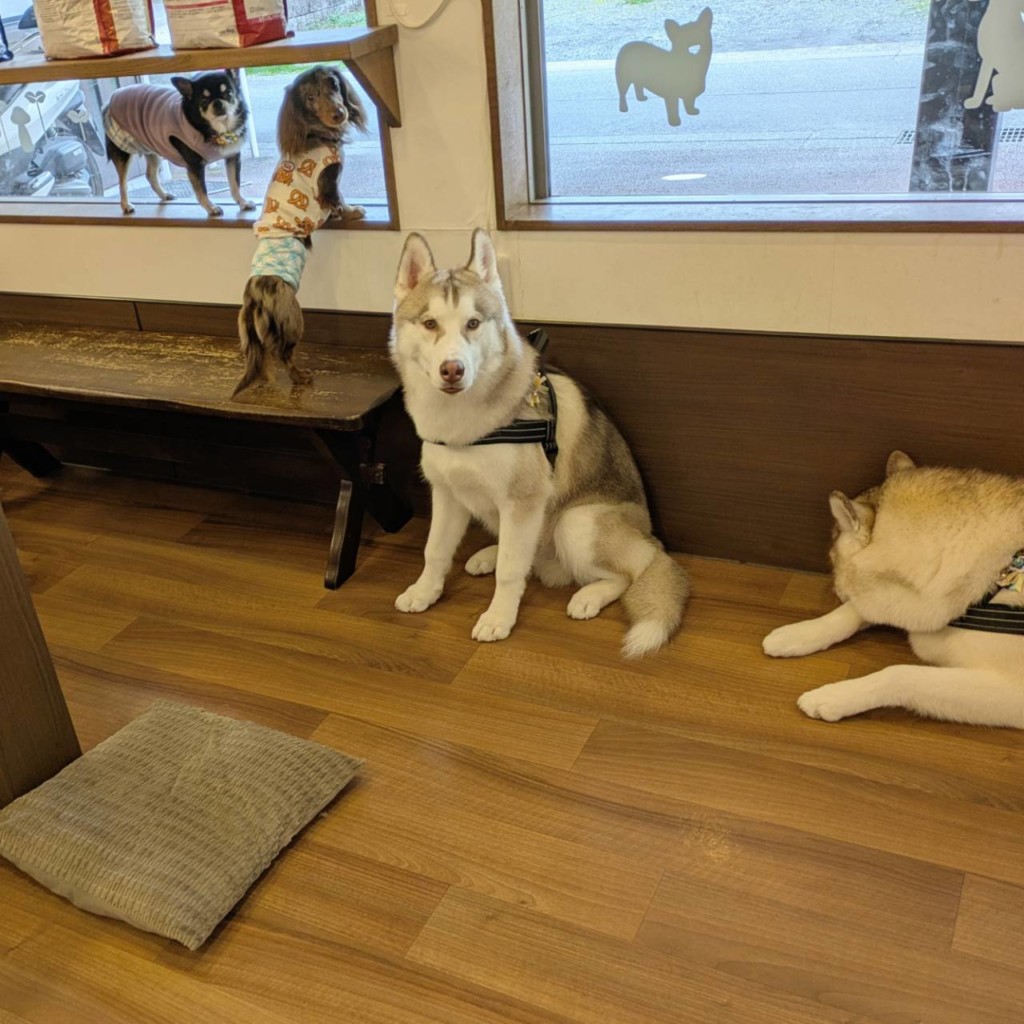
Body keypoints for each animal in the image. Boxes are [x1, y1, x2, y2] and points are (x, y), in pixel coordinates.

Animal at [104, 70, 254, 217]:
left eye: (229, 93)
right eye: (204, 100)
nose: (217, 103)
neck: (218, 131)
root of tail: (113, 96)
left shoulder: (232, 157)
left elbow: (235, 184)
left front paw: (243, 202)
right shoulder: (195, 166)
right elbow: (202, 190)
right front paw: (211, 208)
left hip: (152, 149)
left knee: (150, 175)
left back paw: (164, 195)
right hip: (123, 152)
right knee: (122, 183)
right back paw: (126, 205)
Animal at [233, 65, 367, 397]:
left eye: (333, 85)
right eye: (310, 98)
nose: (338, 113)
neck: (314, 134)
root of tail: (253, 299)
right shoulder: (329, 181)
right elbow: (339, 202)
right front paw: (354, 212)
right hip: (292, 320)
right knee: (283, 353)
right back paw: (301, 378)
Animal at [389, 229, 690, 658]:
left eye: (473, 323)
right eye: (430, 323)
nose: (452, 370)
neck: (466, 425)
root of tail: (653, 541)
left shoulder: (523, 501)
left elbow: (511, 571)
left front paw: (499, 617)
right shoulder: (446, 493)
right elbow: (435, 551)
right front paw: (424, 591)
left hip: (575, 523)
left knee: (627, 574)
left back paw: (589, 596)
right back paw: (490, 554)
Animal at [763, 451, 1024, 727]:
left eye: (831, 559)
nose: (834, 588)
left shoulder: (1014, 693)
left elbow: (900, 674)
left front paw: (833, 697)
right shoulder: (904, 601)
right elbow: (855, 611)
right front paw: (797, 634)